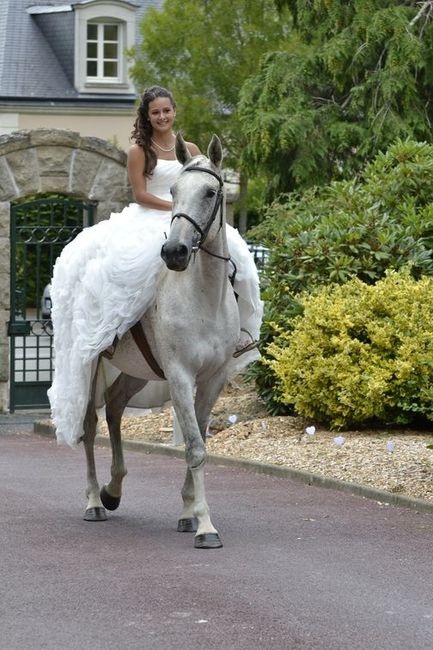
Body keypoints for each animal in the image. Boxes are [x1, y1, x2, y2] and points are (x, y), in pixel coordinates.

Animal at [80, 133, 239, 549]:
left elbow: (199, 440)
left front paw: (187, 513)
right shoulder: (180, 375)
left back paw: (113, 490)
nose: (174, 252)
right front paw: (205, 526)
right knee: (89, 426)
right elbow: (194, 447)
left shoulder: (213, 378)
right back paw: (94, 501)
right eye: (173, 191)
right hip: (87, 366)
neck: (203, 296)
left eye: (210, 192)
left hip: (137, 371)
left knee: (115, 406)